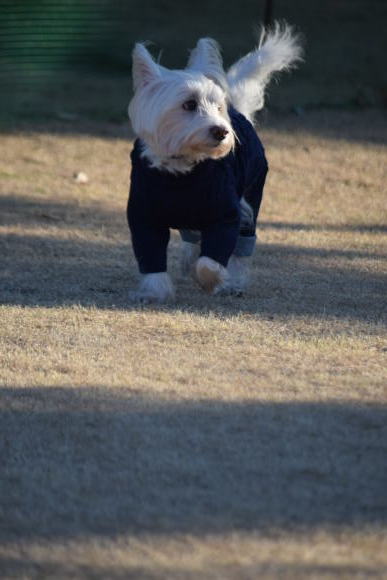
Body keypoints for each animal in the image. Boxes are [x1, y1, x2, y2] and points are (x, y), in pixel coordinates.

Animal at [127, 23, 304, 304]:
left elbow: (210, 261)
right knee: (192, 239)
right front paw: (153, 293)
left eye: (218, 107)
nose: (222, 131)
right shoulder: (144, 218)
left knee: (241, 249)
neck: (182, 170)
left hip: (252, 196)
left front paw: (215, 280)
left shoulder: (227, 214)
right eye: (189, 104)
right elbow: (151, 259)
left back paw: (233, 282)